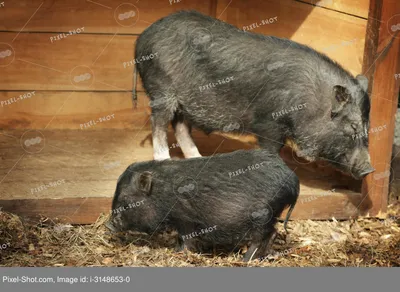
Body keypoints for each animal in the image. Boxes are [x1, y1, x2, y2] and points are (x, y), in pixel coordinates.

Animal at [106, 149, 300, 262]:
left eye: (126, 203)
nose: (108, 225)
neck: (162, 193)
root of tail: (292, 179)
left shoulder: (184, 218)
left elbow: (186, 238)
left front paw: (178, 252)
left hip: (262, 215)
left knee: (261, 237)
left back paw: (244, 259)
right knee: (273, 233)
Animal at [135, 10, 376, 178]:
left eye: (367, 127)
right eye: (352, 126)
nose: (369, 169)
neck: (311, 102)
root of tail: (142, 38)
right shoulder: (268, 122)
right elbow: (271, 148)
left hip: (186, 101)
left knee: (181, 127)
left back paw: (198, 159)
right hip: (162, 89)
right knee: (158, 121)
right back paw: (164, 160)